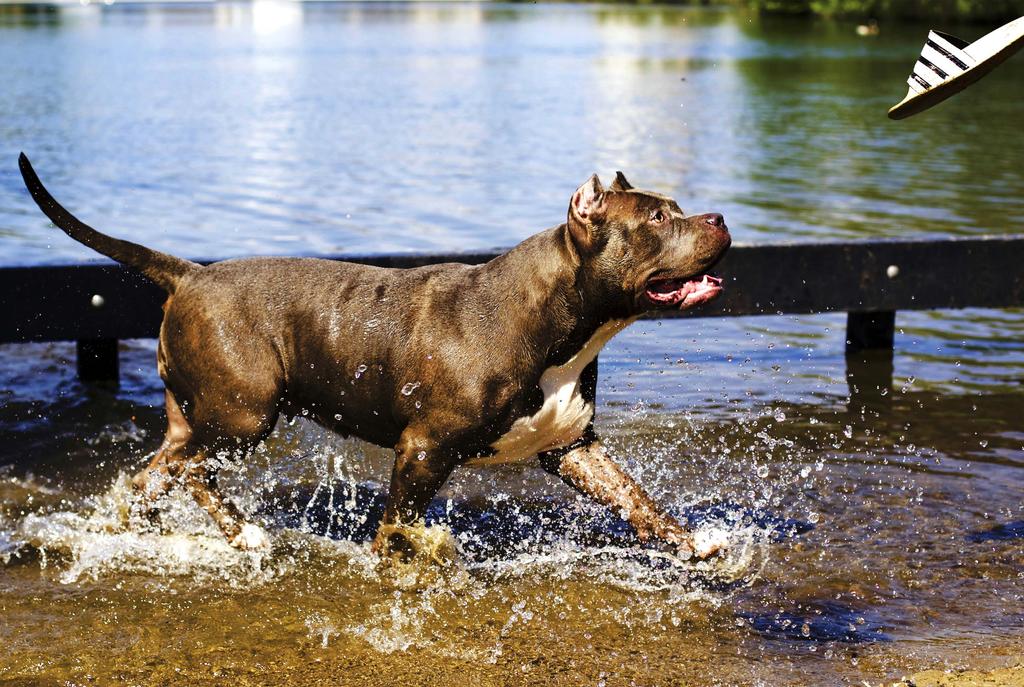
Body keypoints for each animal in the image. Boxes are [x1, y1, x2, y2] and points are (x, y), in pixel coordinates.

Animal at [22, 157, 729, 565]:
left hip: (199, 417)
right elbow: (399, 523)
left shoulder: (572, 447)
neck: (557, 318)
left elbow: (638, 501)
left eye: (677, 210)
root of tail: (191, 275)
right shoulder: (422, 449)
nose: (720, 217)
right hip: (246, 414)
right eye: (659, 218)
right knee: (195, 470)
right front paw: (408, 556)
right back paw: (245, 535)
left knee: (158, 471)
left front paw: (695, 542)